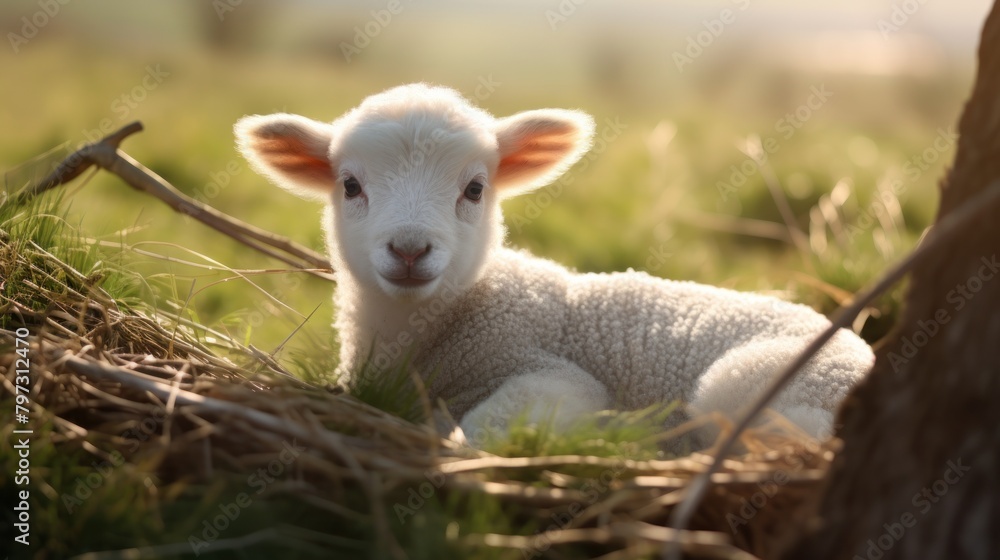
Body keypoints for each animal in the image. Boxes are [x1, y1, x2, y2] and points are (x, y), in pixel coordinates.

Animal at [235, 83, 874, 447]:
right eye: (350, 185)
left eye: (474, 188)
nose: (410, 249)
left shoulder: (554, 374)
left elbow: (484, 432)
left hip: (753, 388)